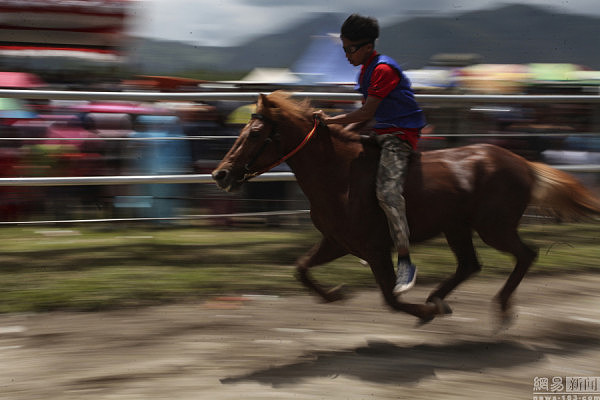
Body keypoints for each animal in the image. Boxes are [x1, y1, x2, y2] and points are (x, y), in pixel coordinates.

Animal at [212, 91, 600, 324]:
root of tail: (523, 163)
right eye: (241, 131)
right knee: (470, 264)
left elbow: (390, 297)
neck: (340, 175)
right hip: (457, 227)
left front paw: (423, 311)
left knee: (525, 254)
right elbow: (301, 268)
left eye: (255, 135)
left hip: (494, 227)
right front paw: (335, 294)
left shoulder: (375, 247)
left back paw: (500, 308)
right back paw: (441, 298)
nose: (220, 174)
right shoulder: (338, 242)